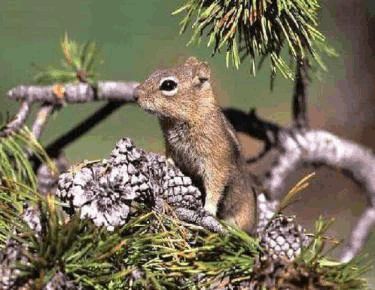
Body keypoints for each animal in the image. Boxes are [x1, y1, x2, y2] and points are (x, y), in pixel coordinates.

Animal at [135, 56, 258, 233]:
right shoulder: (171, 147)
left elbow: (215, 183)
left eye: (168, 85)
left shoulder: (215, 160)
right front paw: (164, 163)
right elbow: (170, 158)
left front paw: (207, 209)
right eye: (154, 72)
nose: (135, 95)